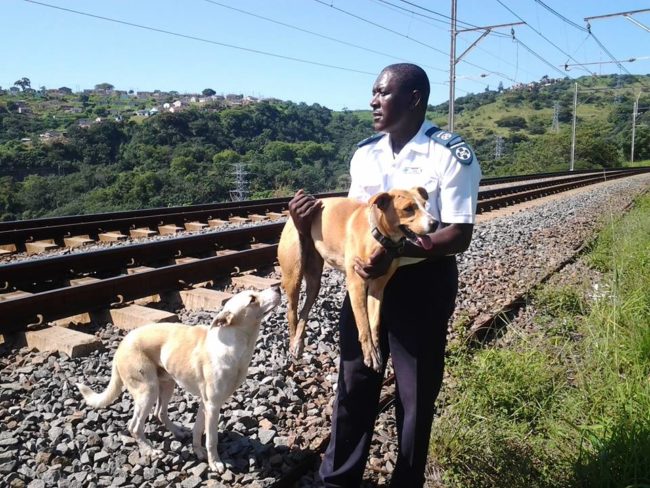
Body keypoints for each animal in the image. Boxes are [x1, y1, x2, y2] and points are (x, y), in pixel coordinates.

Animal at [74, 286, 280, 472]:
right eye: (252, 299)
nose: (278, 287)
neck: (234, 344)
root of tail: (120, 347)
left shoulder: (205, 404)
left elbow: (198, 430)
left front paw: (198, 451)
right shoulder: (213, 405)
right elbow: (211, 439)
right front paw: (215, 463)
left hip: (167, 384)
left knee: (160, 413)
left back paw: (178, 432)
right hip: (147, 390)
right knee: (134, 426)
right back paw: (150, 451)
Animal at [278, 186, 436, 370]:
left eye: (425, 205)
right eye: (408, 208)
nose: (435, 223)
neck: (377, 234)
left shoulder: (377, 287)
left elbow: (374, 323)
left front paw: (377, 352)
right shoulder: (356, 284)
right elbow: (363, 323)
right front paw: (369, 354)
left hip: (314, 280)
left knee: (305, 308)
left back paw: (299, 341)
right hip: (293, 274)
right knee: (291, 311)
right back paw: (293, 343)